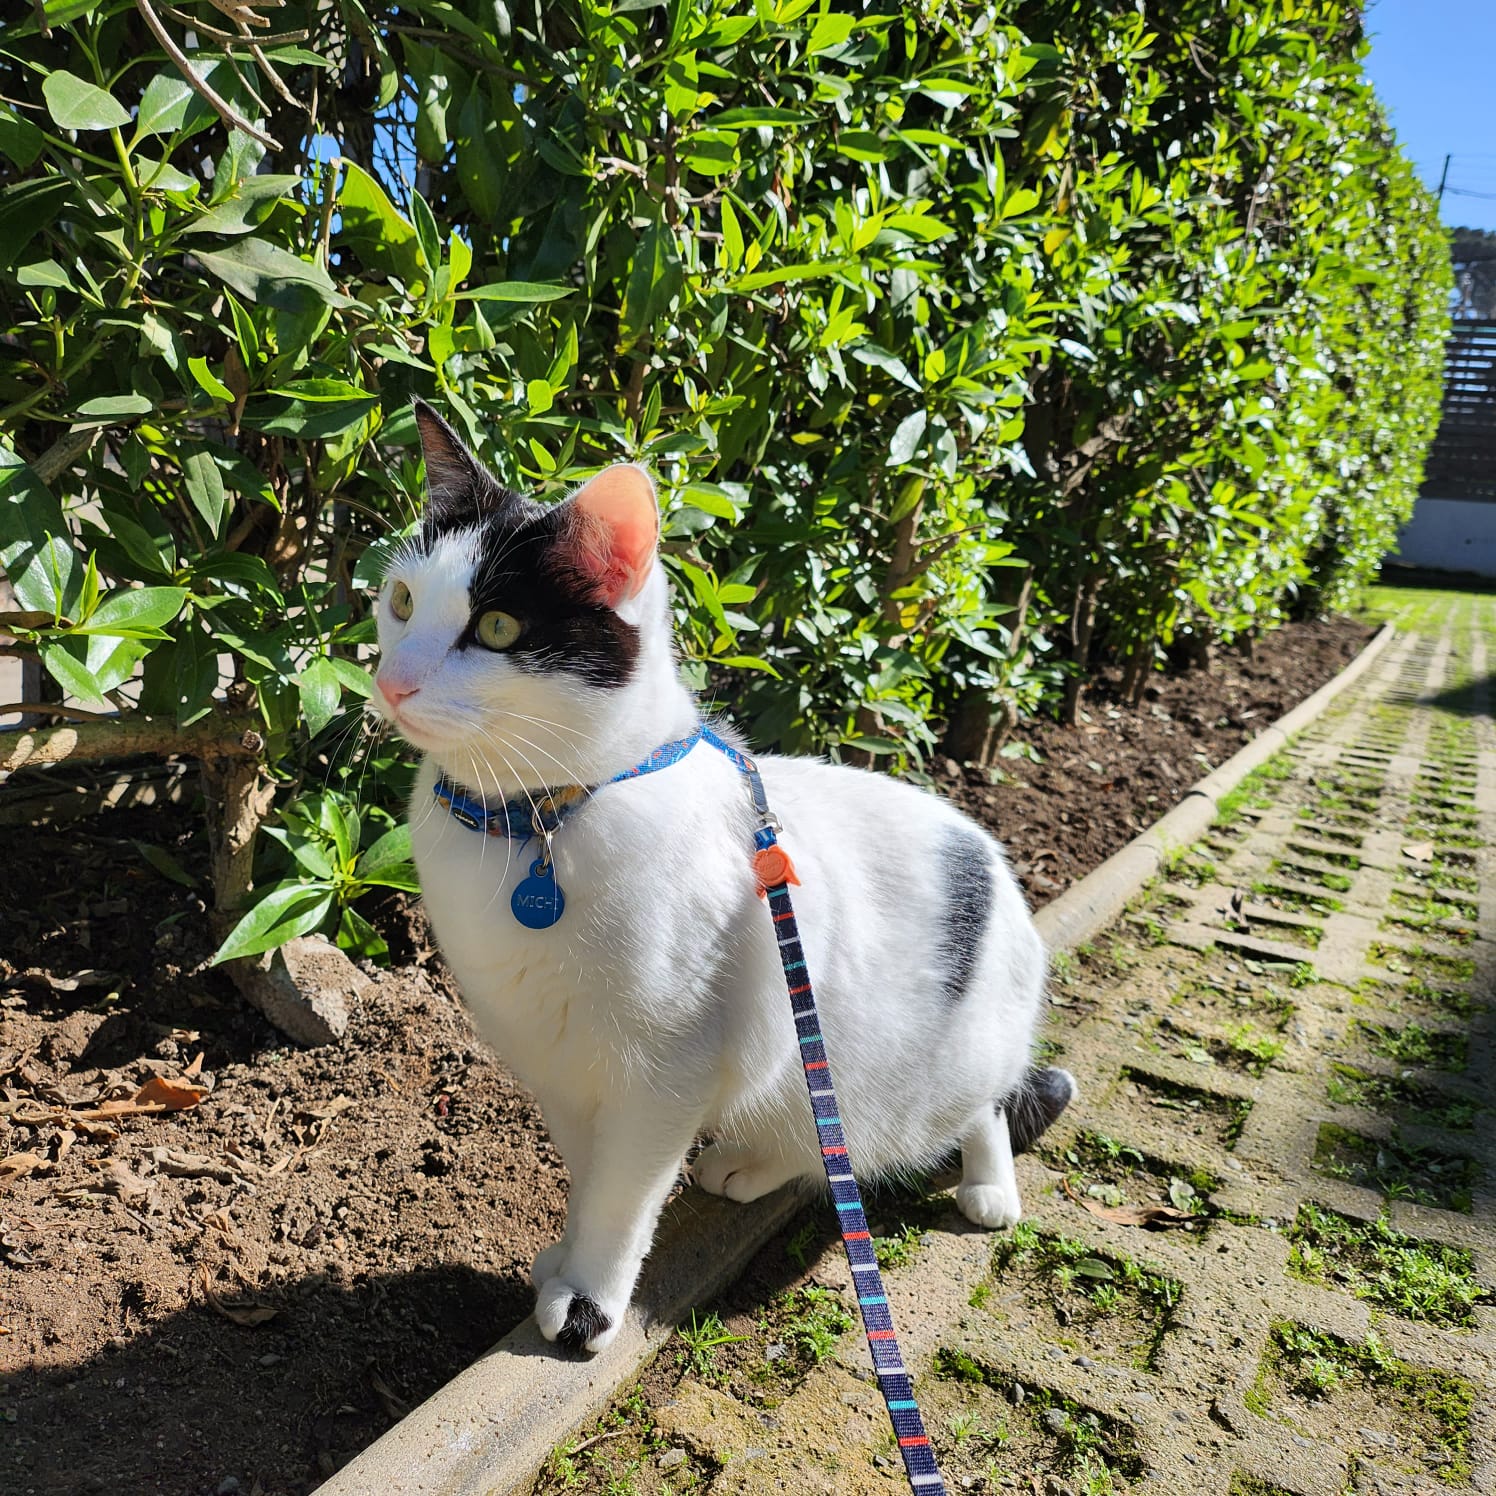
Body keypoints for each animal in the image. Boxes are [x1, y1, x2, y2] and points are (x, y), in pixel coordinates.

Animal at [374, 400, 1077, 1358]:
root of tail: (998, 865)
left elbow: (624, 1193)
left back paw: (988, 1184)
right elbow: (588, 1171)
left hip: (946, 1052)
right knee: (822, 1130)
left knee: (973, 1106)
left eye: (498, 630)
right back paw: (751, 1165)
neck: (534, 821)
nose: (391, 682)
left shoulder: (666, 1069)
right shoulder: (554, 1059)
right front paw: (564, 1258)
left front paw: (590, 1300)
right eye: (402, 600)